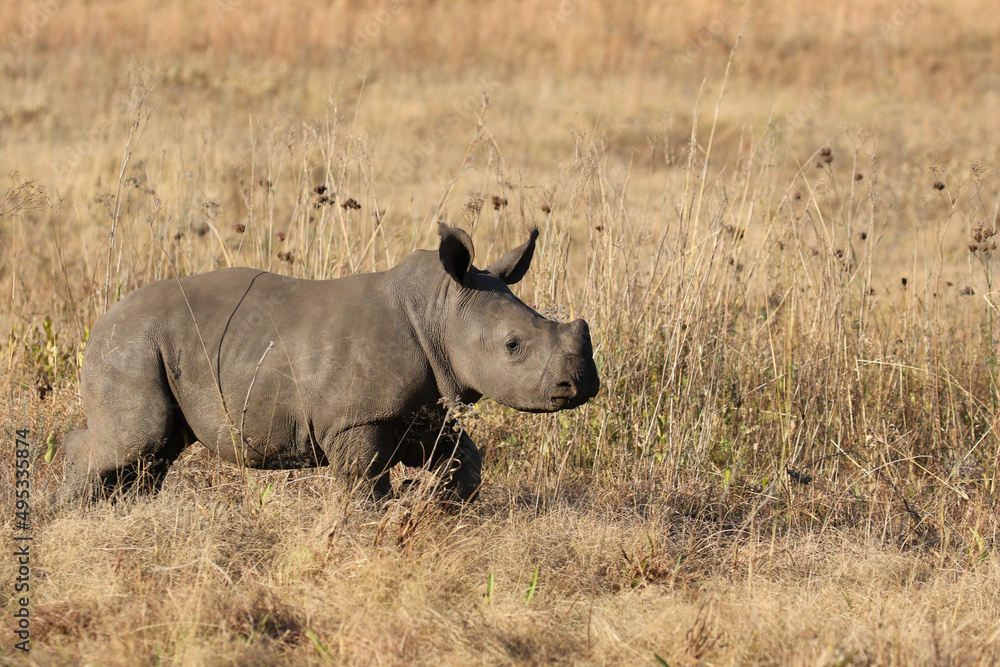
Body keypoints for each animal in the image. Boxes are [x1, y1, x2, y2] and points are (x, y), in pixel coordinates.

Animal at [63, 225, 599, 503]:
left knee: (157, 449)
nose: (582, 384)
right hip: (131, 342)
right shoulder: (356, 417)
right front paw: (379, 524)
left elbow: (464, 459)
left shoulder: (417, 407)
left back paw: (130, 511)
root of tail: (100, 318)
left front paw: (434, 504)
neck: (441, 310)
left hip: (152, 344)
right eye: (513, 346)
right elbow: (365, 483)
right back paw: (75, 513)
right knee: (139, 438)